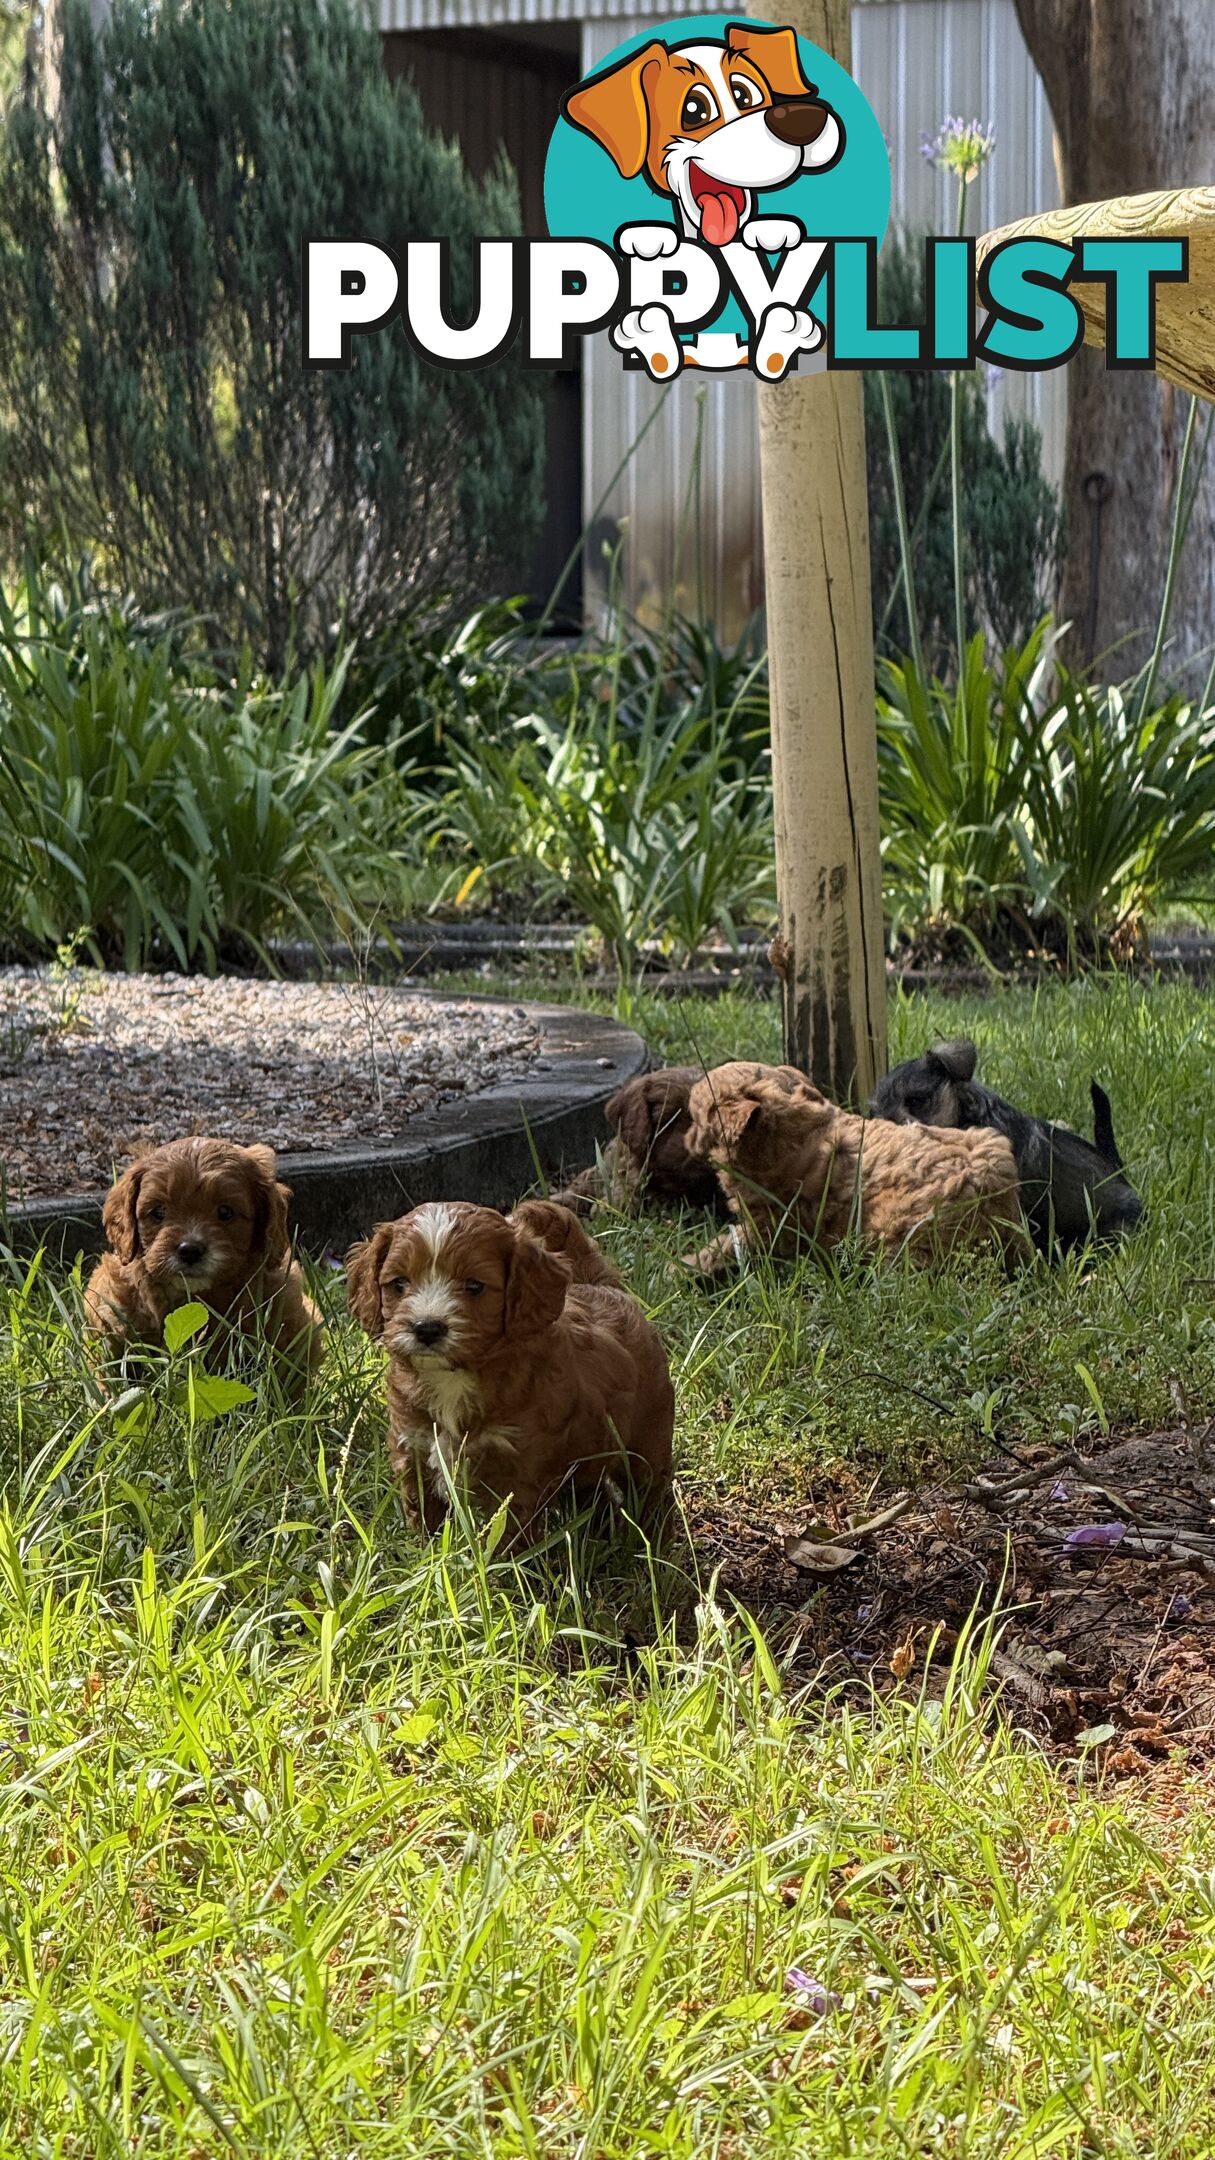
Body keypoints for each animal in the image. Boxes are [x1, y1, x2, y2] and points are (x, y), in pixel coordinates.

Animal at [345, 1200, 674, 1537]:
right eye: (398, 1283)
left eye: (474, 1286)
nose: (426, 1328)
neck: (454, 1376)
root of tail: (602, 1287)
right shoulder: (413, 1448)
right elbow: (425, 1515)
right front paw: (426, 1548)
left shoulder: (517, 1469)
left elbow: (508, 1533)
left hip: (647, 1438)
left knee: (653, 1489)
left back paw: (653, 1536)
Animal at [683, 1058, 1020, 1270]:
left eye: (696, 1119)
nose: (686, 1141)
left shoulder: (772, 1223)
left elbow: (727, 1245)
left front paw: (684, 1268)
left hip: (900, 1225)